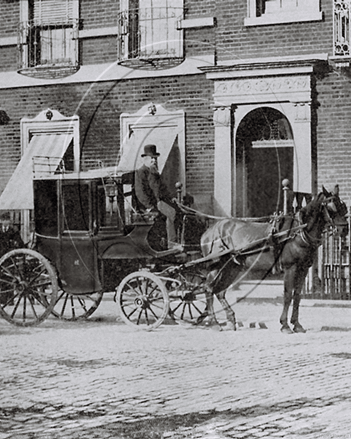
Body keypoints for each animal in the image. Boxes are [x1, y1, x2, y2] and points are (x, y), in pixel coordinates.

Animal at [199, 184, 350, 332]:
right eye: (331, 207)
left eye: (343, 206)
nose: (344, 230)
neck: (298, 231)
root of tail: (209, 232)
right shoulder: (290, 268)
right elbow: (288, 295)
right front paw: (285, 325)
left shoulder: (303, 269)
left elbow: (297, 296)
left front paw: (297, 324)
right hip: (217, 267)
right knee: (208, 288)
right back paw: (214, 322)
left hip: (232, 268)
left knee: (219, 292)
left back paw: (230, 320)